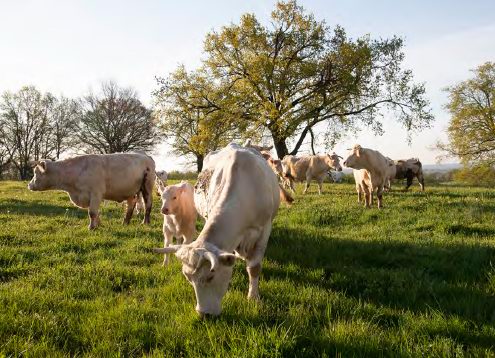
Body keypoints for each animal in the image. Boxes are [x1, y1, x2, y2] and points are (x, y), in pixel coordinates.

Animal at [155, 143, 286, 316]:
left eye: (211, 276)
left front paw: (253, 297)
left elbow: (254, 268)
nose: (204, 314)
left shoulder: (264, 230)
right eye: (189, 279)